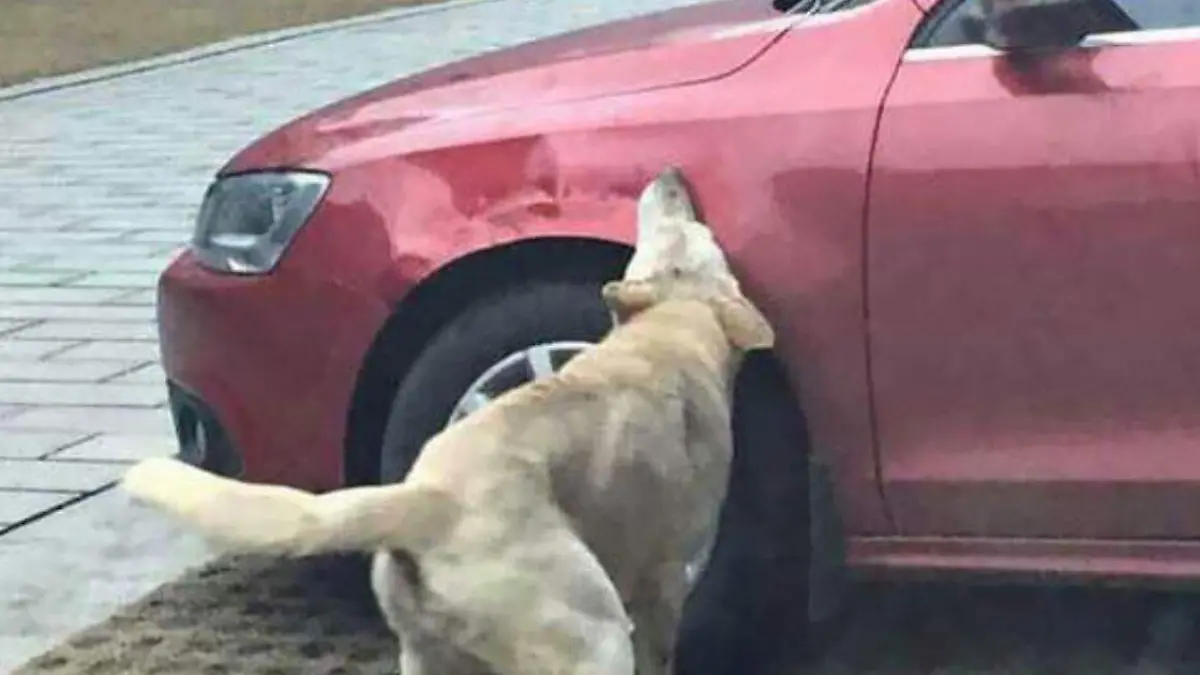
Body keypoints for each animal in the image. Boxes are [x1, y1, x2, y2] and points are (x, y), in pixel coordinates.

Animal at [121, 164, 772, 672]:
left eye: (670, 229)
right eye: (693, 230)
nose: (672, 175)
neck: (670, 328)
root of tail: (428, 500)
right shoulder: (663, 578)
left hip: (429, 653)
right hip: (591, 636)